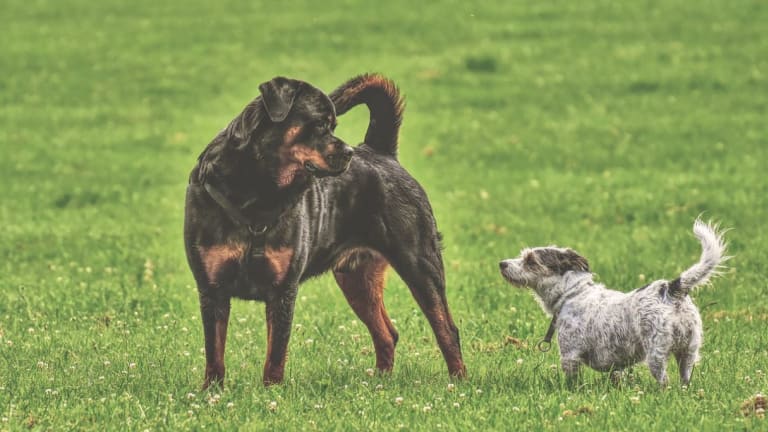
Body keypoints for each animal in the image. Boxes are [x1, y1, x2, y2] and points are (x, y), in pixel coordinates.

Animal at [184, 74, 468, 388]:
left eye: (334, 126)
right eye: (320, 124)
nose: (349, 152)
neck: (257, 192)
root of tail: (381, 151)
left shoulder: (283, 290)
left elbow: (275, 354)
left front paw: (271, 391)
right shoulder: (211, 290)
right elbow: (215, 352)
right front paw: (212, 391)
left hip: (420, 263)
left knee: (446, 329)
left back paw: (458, 382)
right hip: (357, 279)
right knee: (387, 334)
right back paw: (380, 382)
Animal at [500, 219, 728, 384]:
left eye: (530, 261)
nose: (502, 263)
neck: (573, 294)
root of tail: (672, 288)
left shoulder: (570, 355)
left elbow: (572, 383)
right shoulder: (615, 364)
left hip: (656, 353)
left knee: (664, 381)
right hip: (688, 352)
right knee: (685, 380)